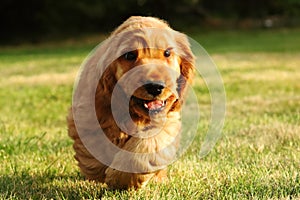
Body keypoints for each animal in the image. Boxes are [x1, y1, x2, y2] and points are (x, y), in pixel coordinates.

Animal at [67, 16, 196, 189]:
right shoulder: (88, 112)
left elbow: (149, 143)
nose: (155, 87)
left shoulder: (167, 119)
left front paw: (120, 177)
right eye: (129, 55)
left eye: (167, 53)